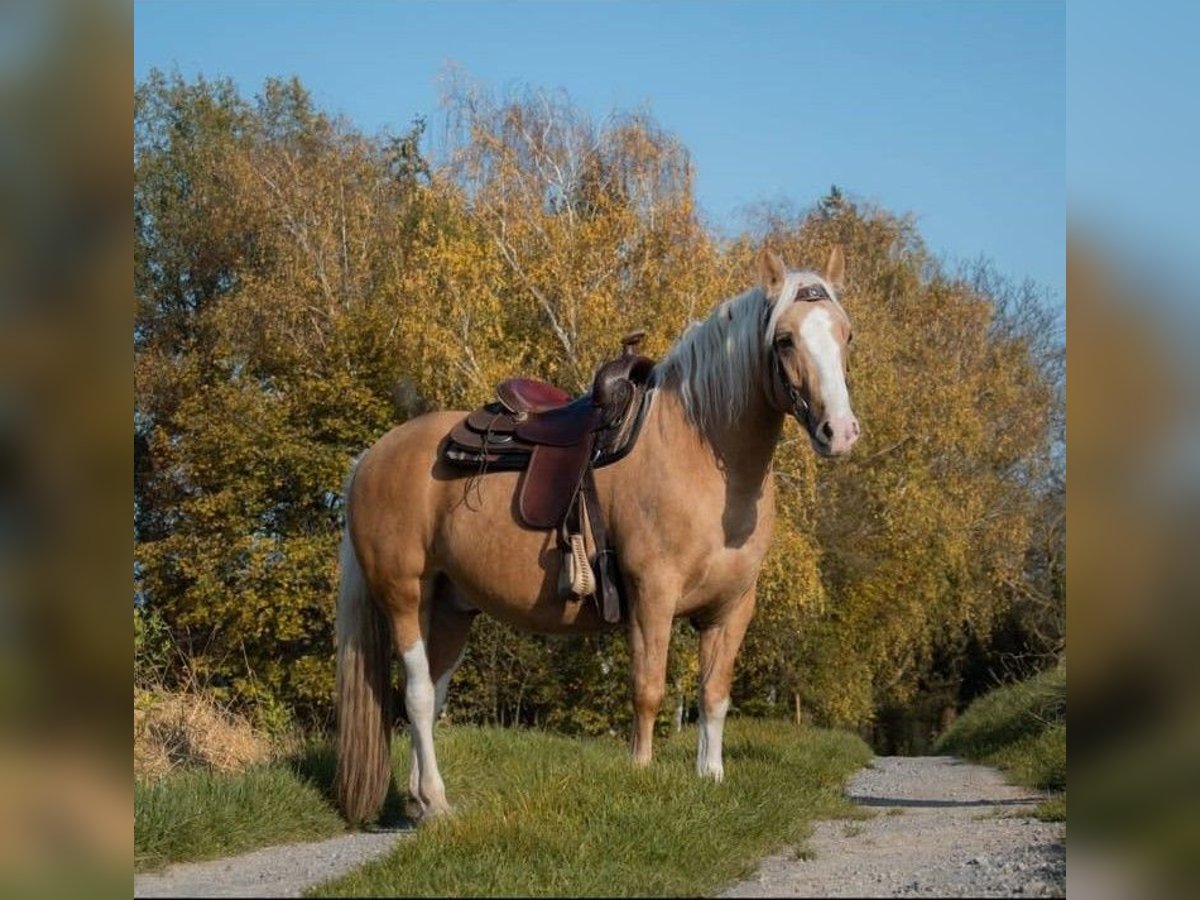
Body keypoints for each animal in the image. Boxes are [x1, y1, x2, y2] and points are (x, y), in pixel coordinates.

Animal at [334, 246, 860, 825]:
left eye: (846, 334)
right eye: (784, 339)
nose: (839, 432)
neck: (699, 454)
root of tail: (370, 458)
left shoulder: (733, 607)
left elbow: (714, 693)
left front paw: (711, 776)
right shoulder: (652, 594)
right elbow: (648, 688)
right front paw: (641, 773)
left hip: (450, 604)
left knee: (432, 688)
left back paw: (422, 800)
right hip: (403, 594)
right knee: (418, 695)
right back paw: (437, 798)